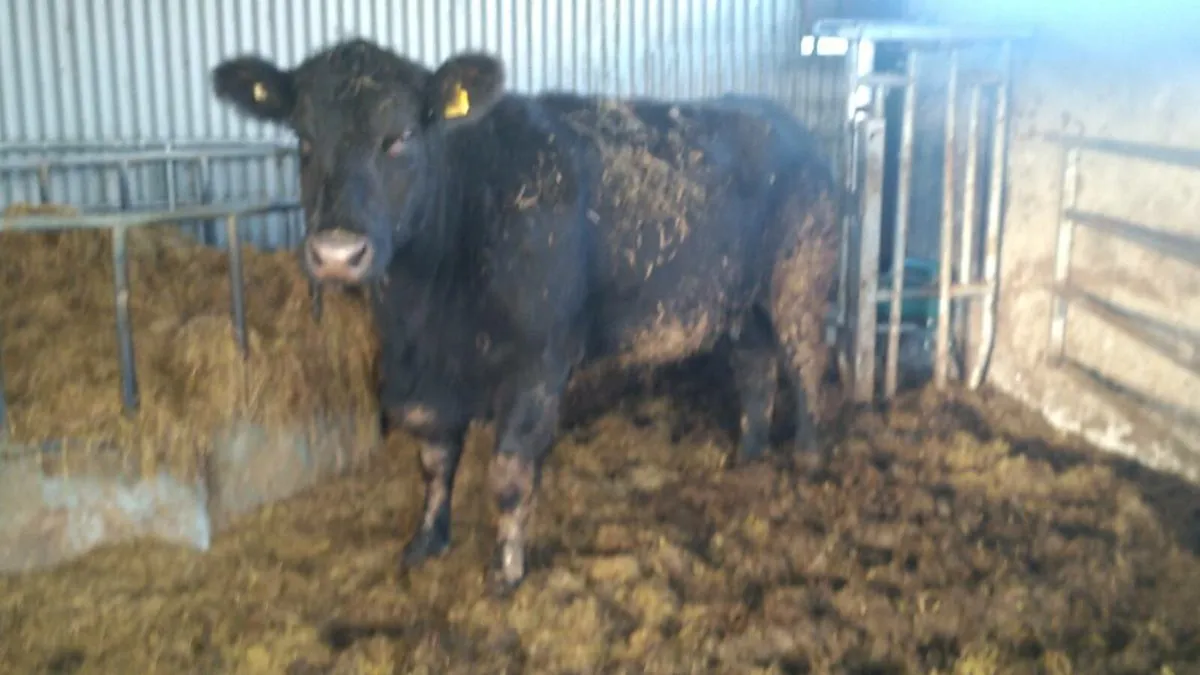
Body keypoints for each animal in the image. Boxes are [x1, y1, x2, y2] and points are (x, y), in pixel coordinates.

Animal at [210, 38, 841, 595]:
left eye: (402, 136)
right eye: (304, 138)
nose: (337, 252)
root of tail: (788, 123)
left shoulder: (539, 364)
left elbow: (510, 474)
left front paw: (504, 571)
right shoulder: (424, 380)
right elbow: (434, 461)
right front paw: (426, 542)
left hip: (800, 275)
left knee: (805, 361)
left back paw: (808, 456)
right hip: (741, 298)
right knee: (756, 367)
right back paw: (749, 454)